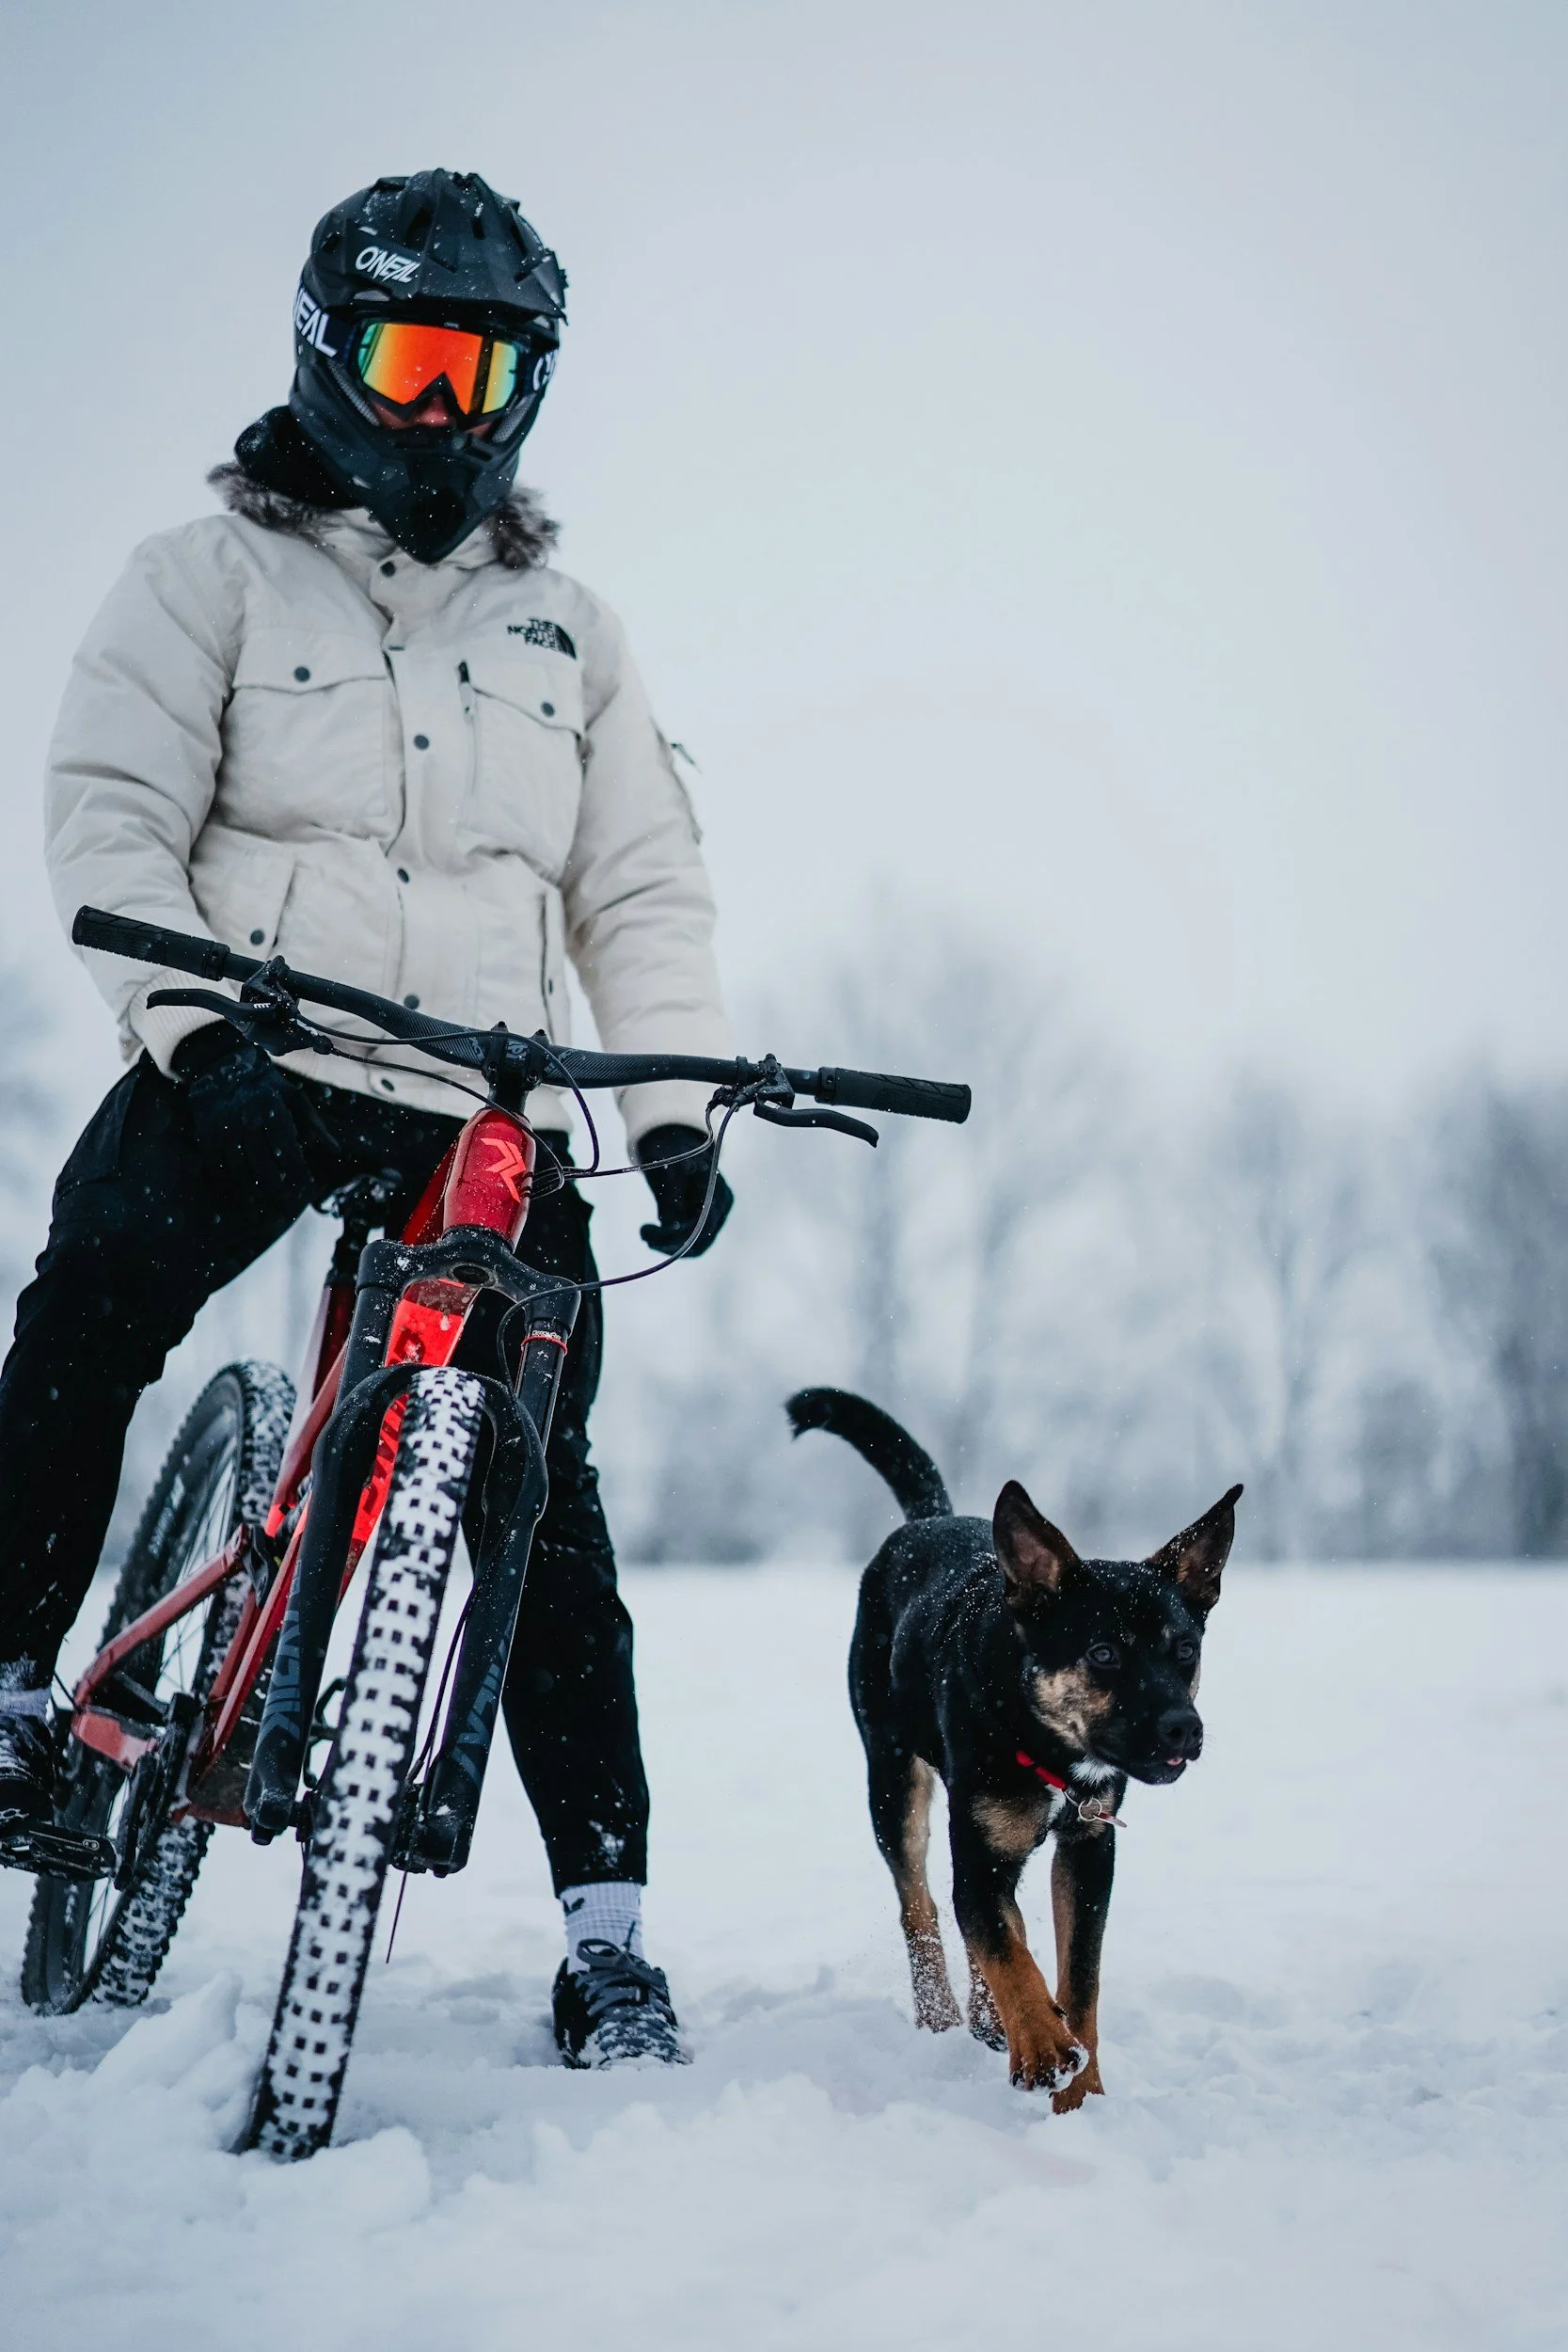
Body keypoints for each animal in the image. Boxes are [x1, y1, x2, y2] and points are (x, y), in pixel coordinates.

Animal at [787, 1388, 1240, 2110]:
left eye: (1185, 1650)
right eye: (1103, 1653)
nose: (1183, 1728)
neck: (1043, 1743)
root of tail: (931, 1519)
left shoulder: (1089, 1849)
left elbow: (1077, 1976)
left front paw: (1081, 2093)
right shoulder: (978, 1854)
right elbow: (1000, 1942)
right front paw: (1044, 2049)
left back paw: (988, 2017)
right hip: (893, 1779)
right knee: (919, 1905)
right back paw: (944, 2017)